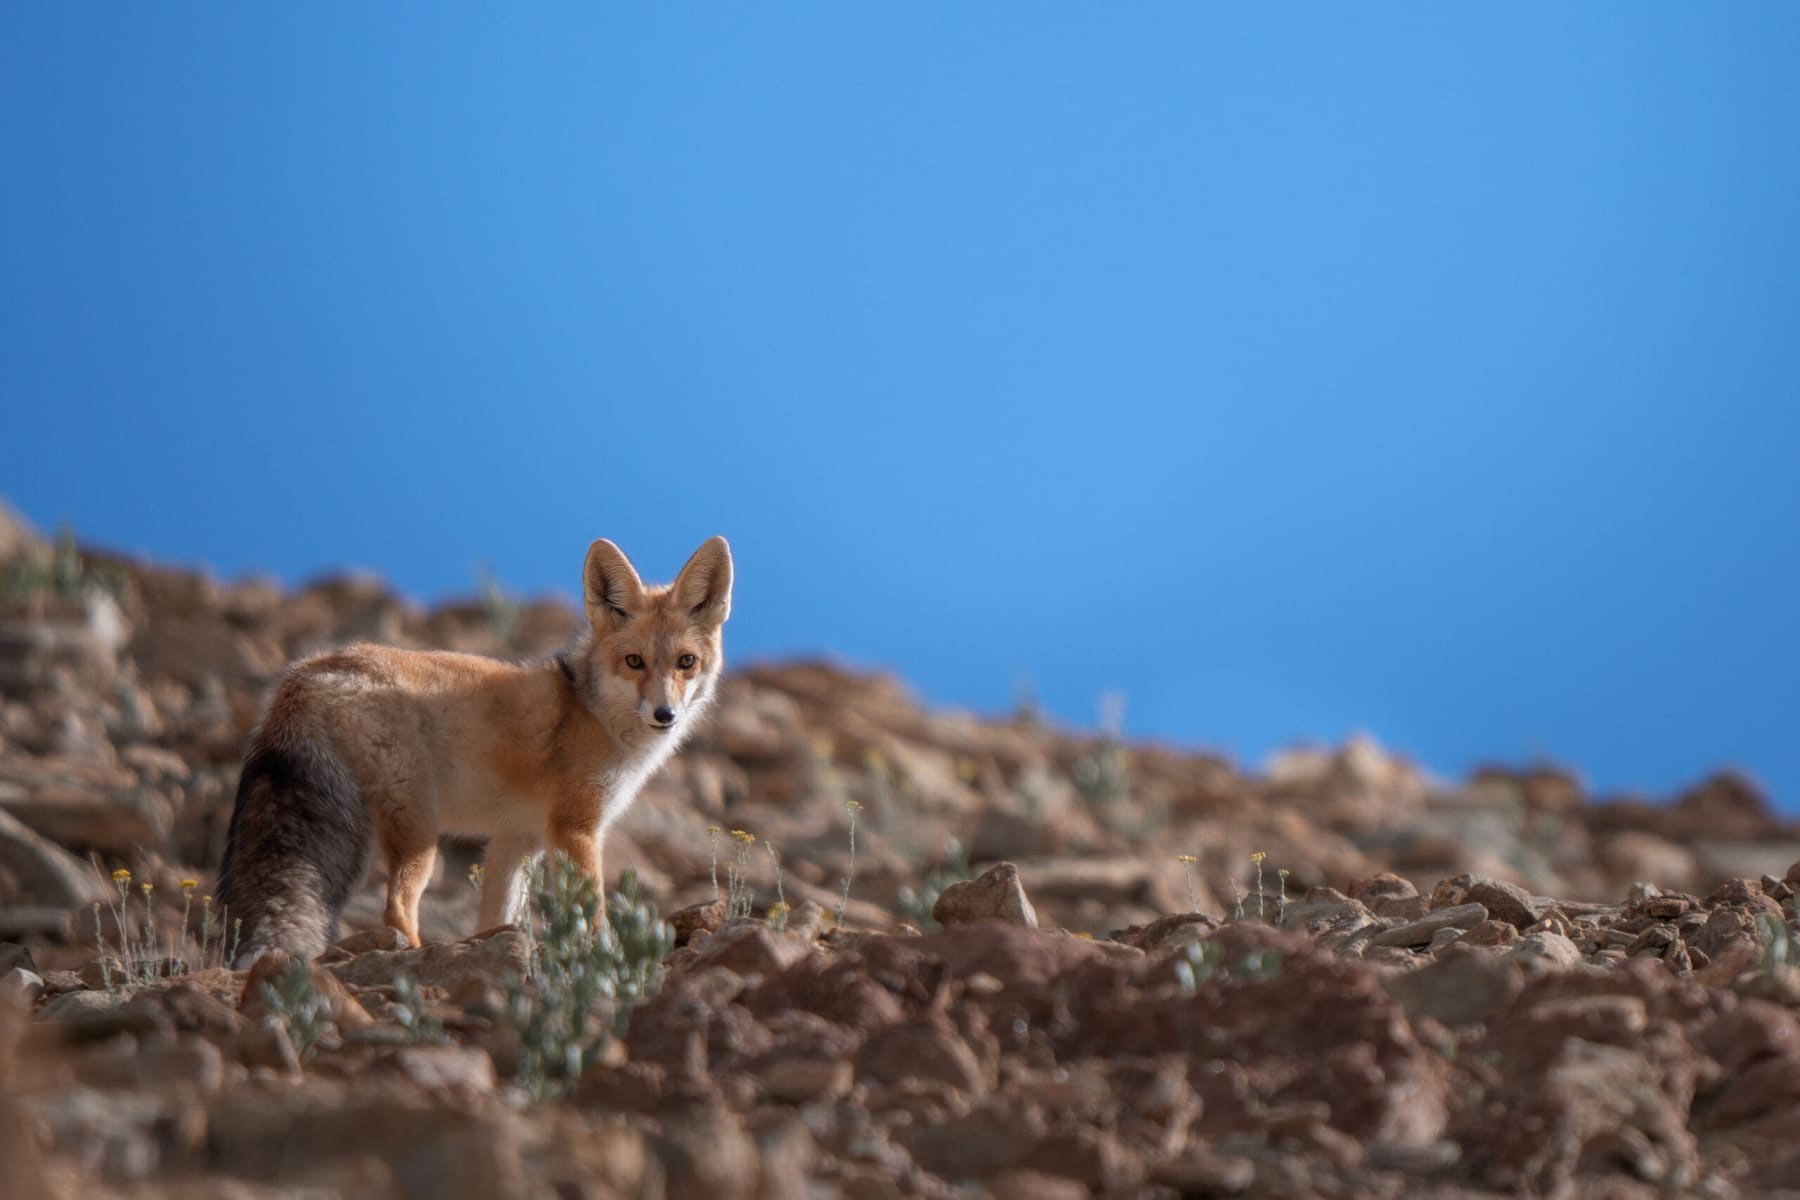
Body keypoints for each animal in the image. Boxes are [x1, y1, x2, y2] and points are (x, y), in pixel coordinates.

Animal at [213, 535, 732, 966]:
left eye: (686, 662)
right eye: (634, 662)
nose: (665, 714)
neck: (590, 710)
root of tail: (303, 674)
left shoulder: (515, 837)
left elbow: (497, 916)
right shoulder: (575, 829)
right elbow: (592, 911)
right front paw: (599, 957)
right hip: (420, 835)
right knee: (396, 908)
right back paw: (411, 956)